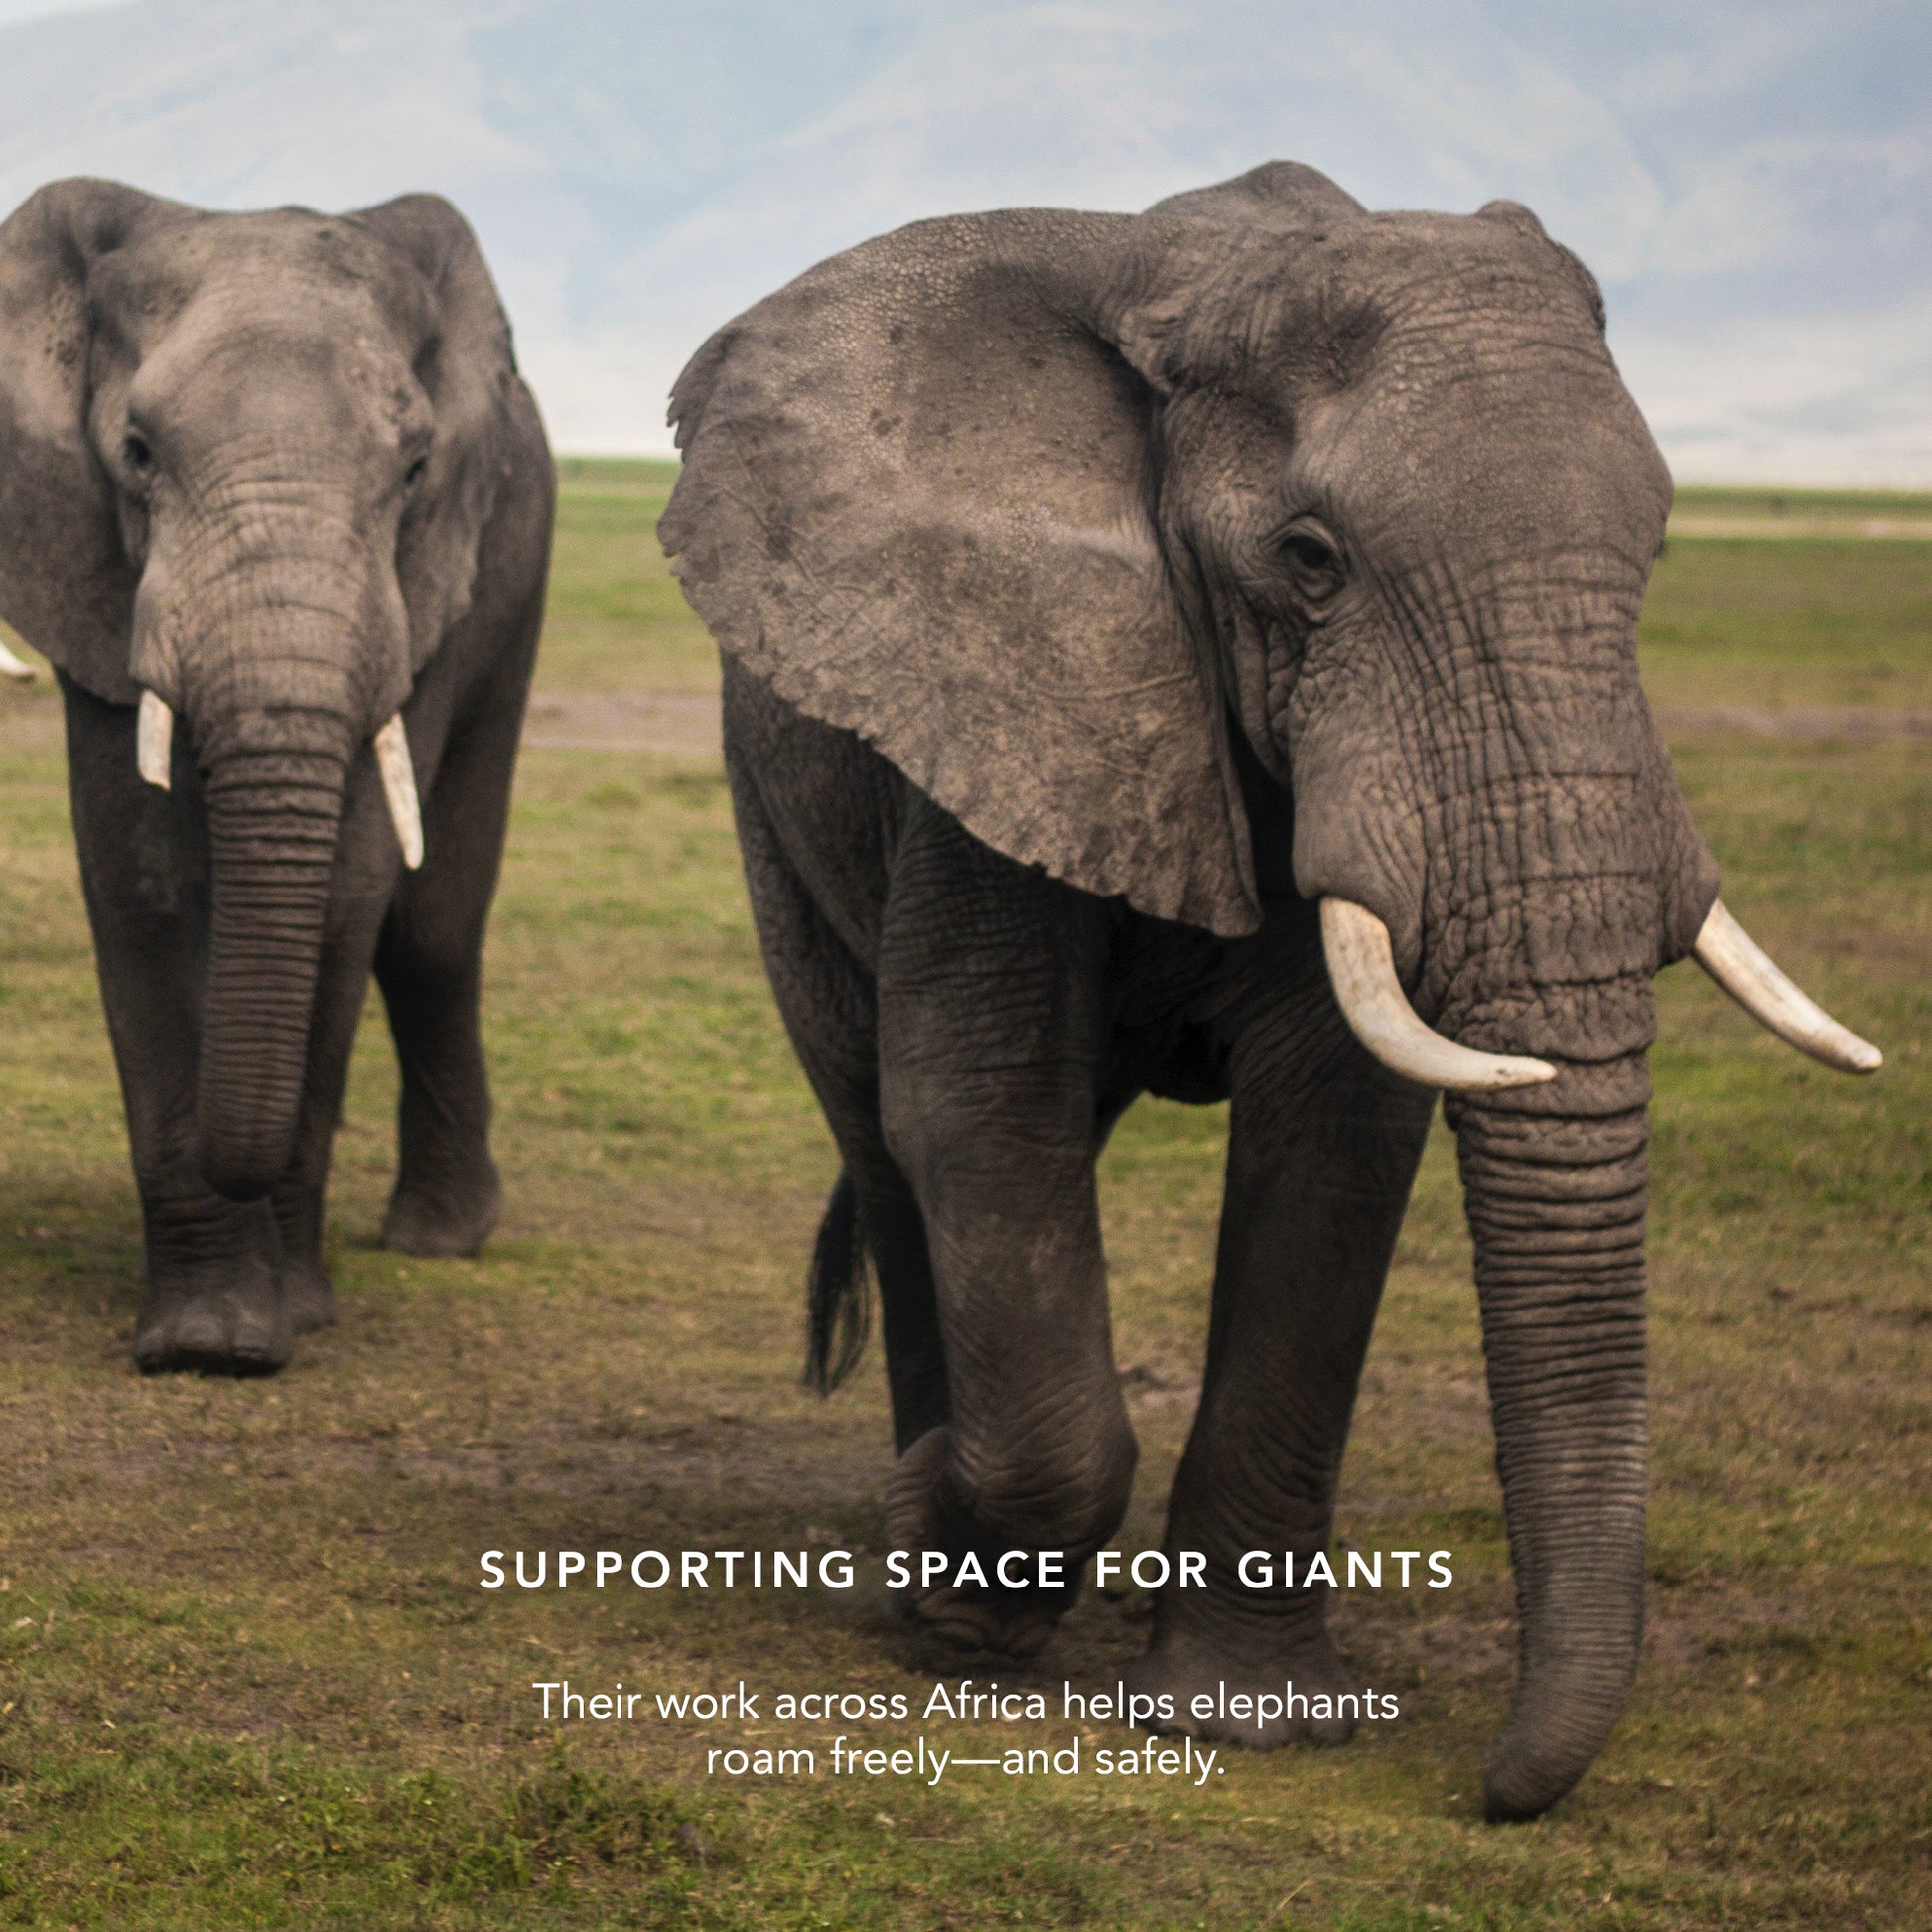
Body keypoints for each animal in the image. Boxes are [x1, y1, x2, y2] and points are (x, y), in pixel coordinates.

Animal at [0, 178, 553, 1375]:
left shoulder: (423, 584)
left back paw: (442, 1238)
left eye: (415, 470)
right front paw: (205, 1341)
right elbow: (144, 880)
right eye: (137, 452)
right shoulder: (87, 564)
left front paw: (284, 1321)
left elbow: (349, 890)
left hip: (515, 577)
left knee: (432, 928)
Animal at [660, 161, 1881, 1821]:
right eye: (1309, 560)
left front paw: (1245, 1719)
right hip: (771, 800)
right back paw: (926, 1549)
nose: (1493, 1788)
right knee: (879, 1123)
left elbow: (1336, 1134)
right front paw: (950, 1586)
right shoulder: (1003, 686)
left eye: (1658, 549)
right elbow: (977, 1104)